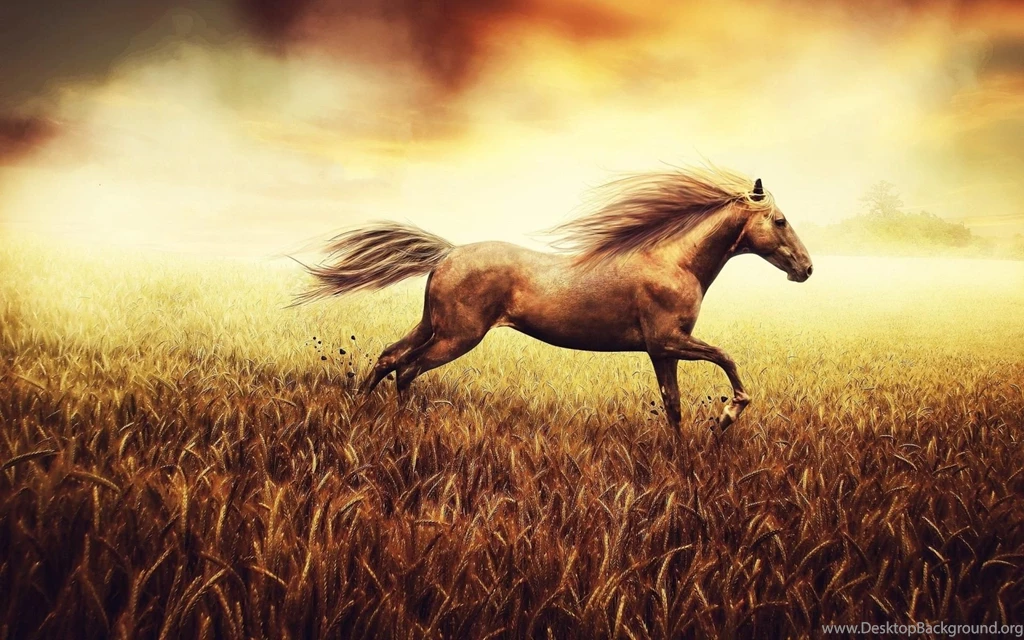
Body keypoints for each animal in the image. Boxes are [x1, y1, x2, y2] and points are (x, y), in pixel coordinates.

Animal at [294, 164, 813, 433]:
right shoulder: (669, 341)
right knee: (408, 368)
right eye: (781, 220)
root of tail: (447, 253)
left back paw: (361, 411)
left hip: (434, 325)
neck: (674, 262)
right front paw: (726, 416)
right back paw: (404, 425)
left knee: (388, 357)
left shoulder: (662, 351)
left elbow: (674, 407)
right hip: (458, 336)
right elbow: (727, 359)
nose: (806, 269)